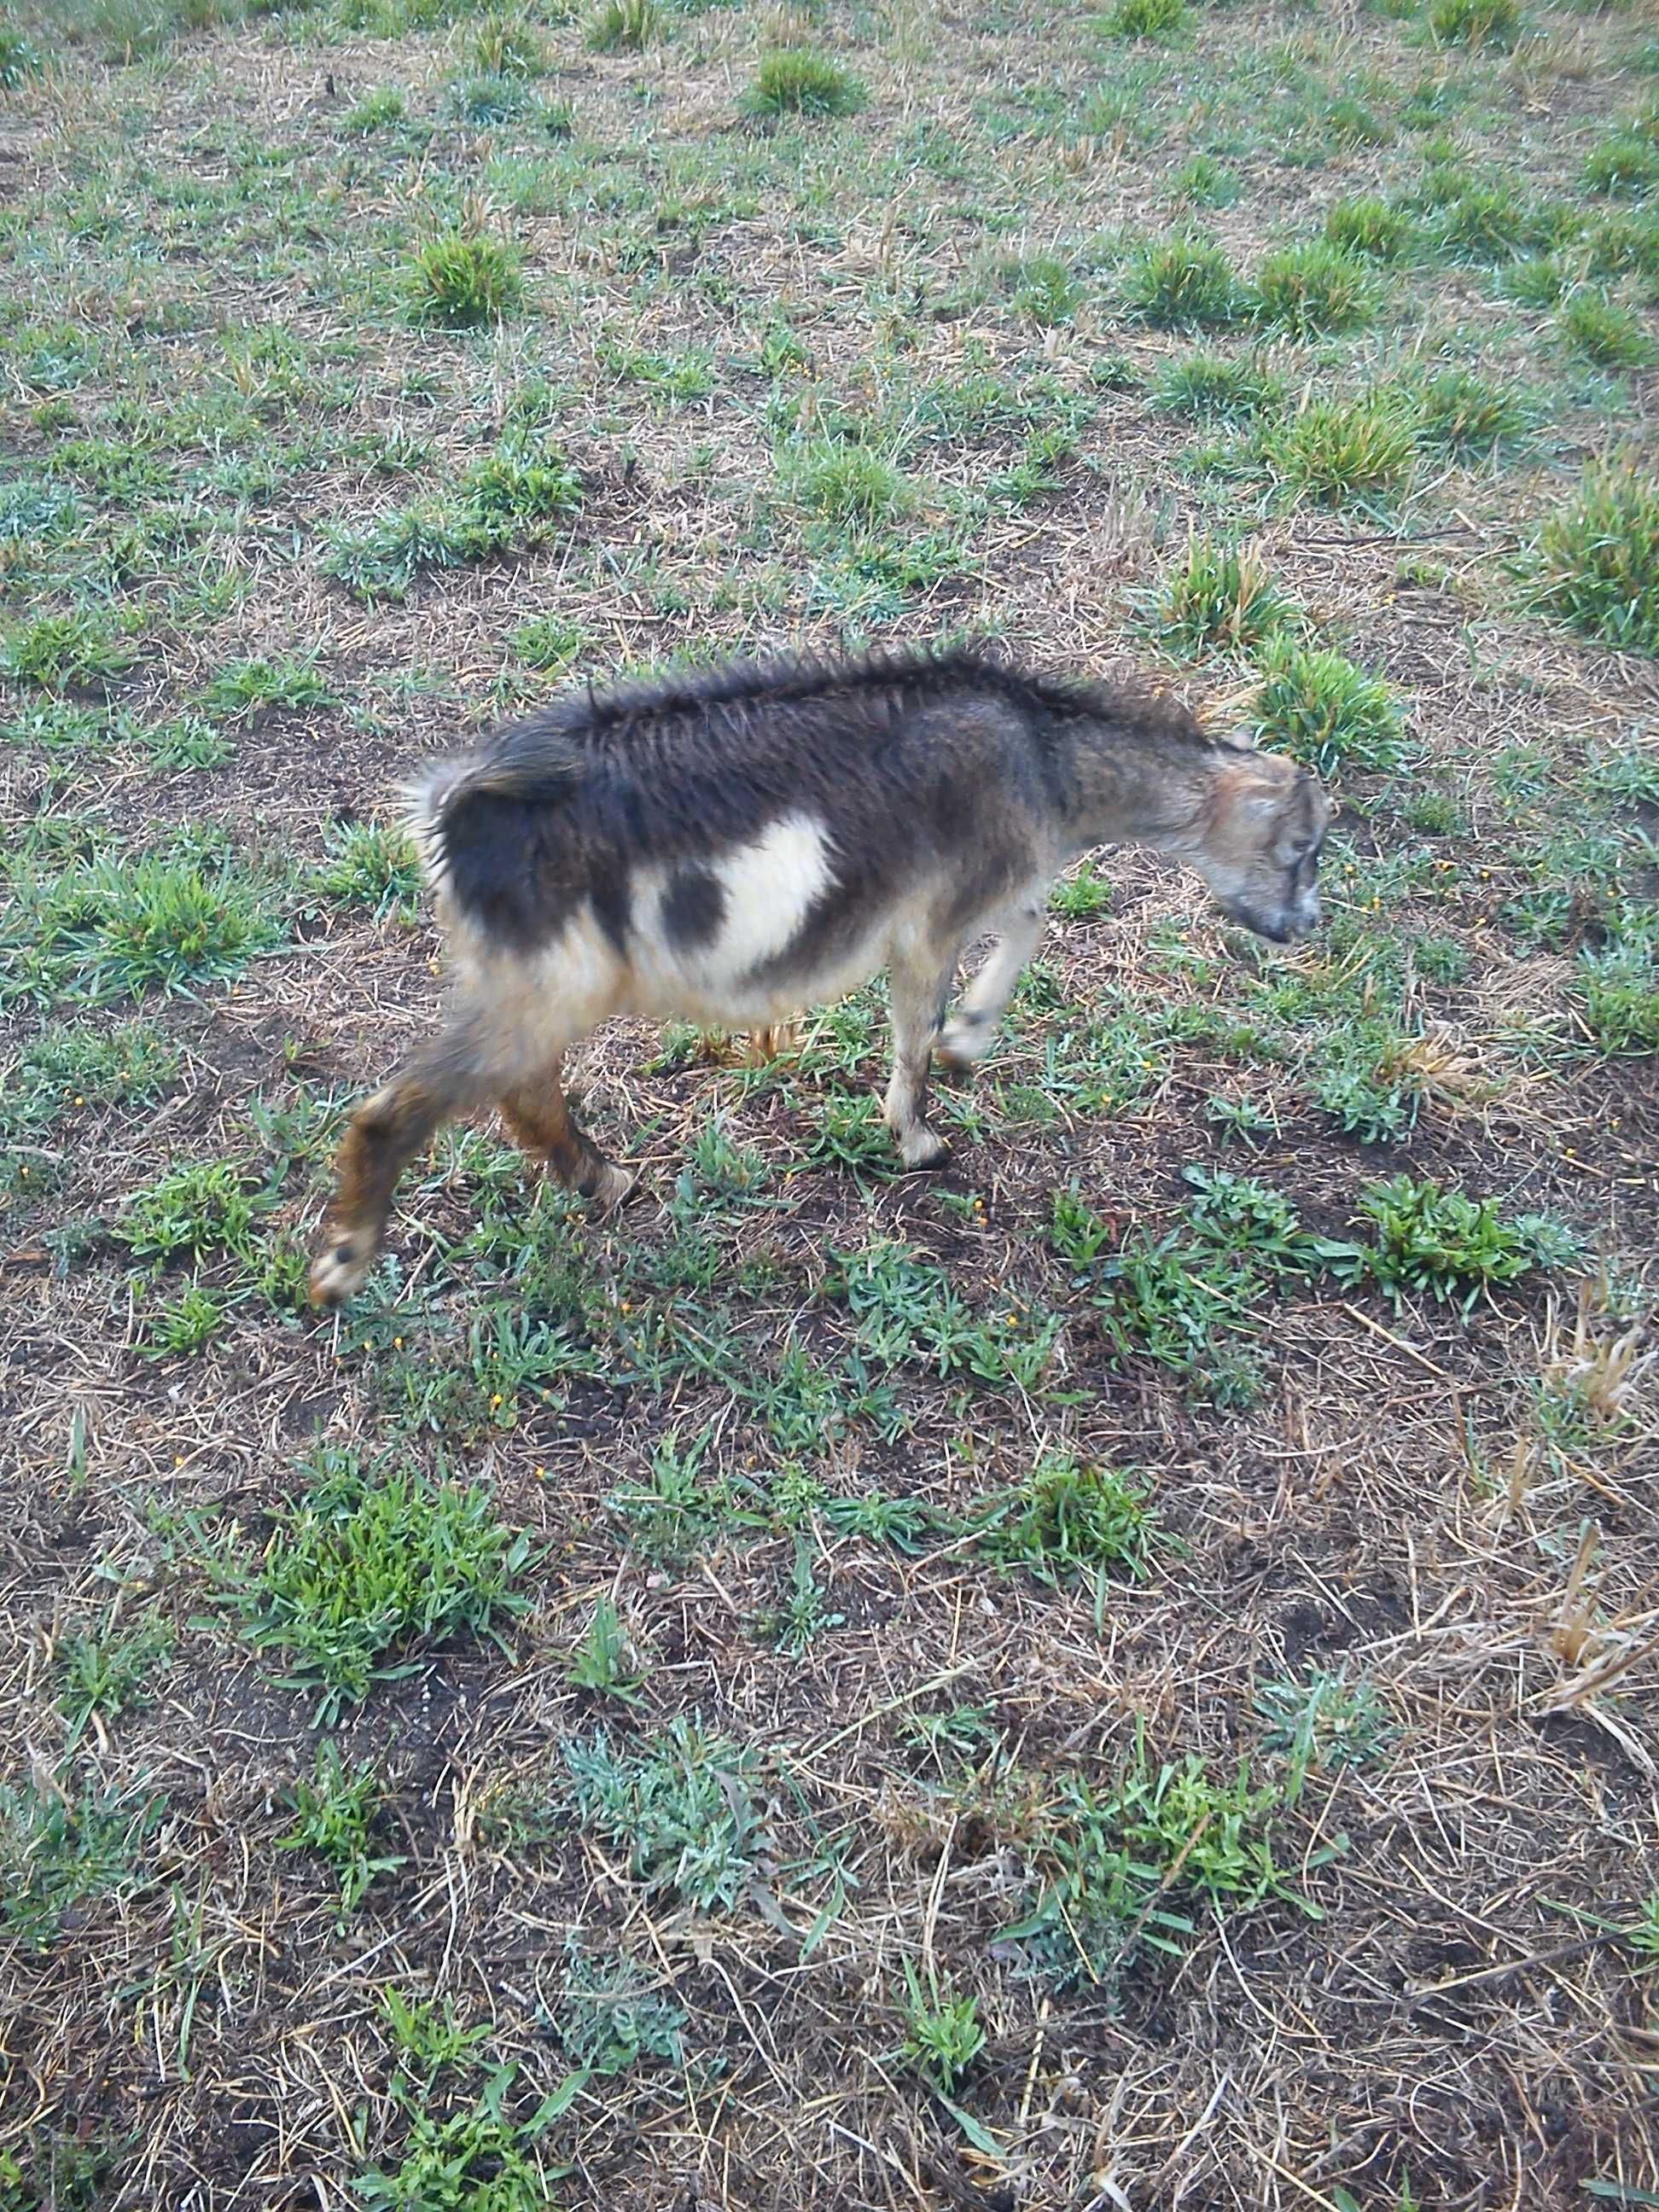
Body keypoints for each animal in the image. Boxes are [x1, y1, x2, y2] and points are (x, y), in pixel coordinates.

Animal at [311, 641, 1336, 1301]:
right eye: (1300, 851)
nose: (1304, 926)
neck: (1041, 760)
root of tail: (453, 811)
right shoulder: (930, 922)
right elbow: (919, 1033)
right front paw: (919, 1135)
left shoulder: (981, 890)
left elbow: (1028, 920)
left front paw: (972, 1037)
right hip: (545, 983)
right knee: (405, 1105)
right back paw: (343, 1260)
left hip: (529, 986)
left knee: (522, 1092)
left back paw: (603, 1183)